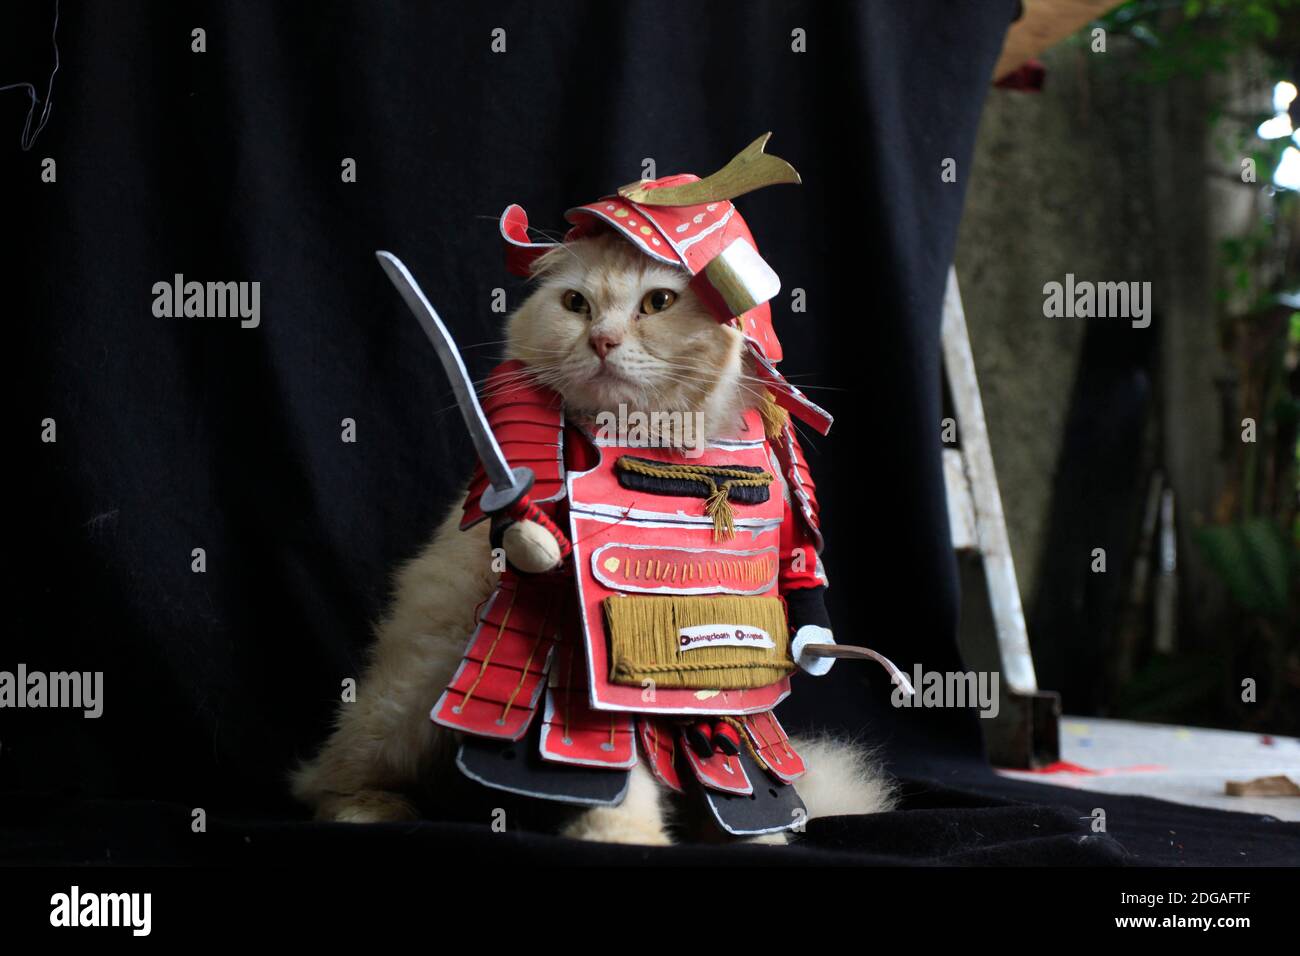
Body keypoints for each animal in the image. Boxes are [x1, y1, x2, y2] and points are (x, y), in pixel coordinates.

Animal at [291, 231, 894, 842]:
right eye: (575, 304)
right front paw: (625, 837)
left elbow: (803, 570)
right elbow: (614, 772)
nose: (602, 340)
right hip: (412, 696)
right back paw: (369, 809)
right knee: (321, 779)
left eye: (658, 303)